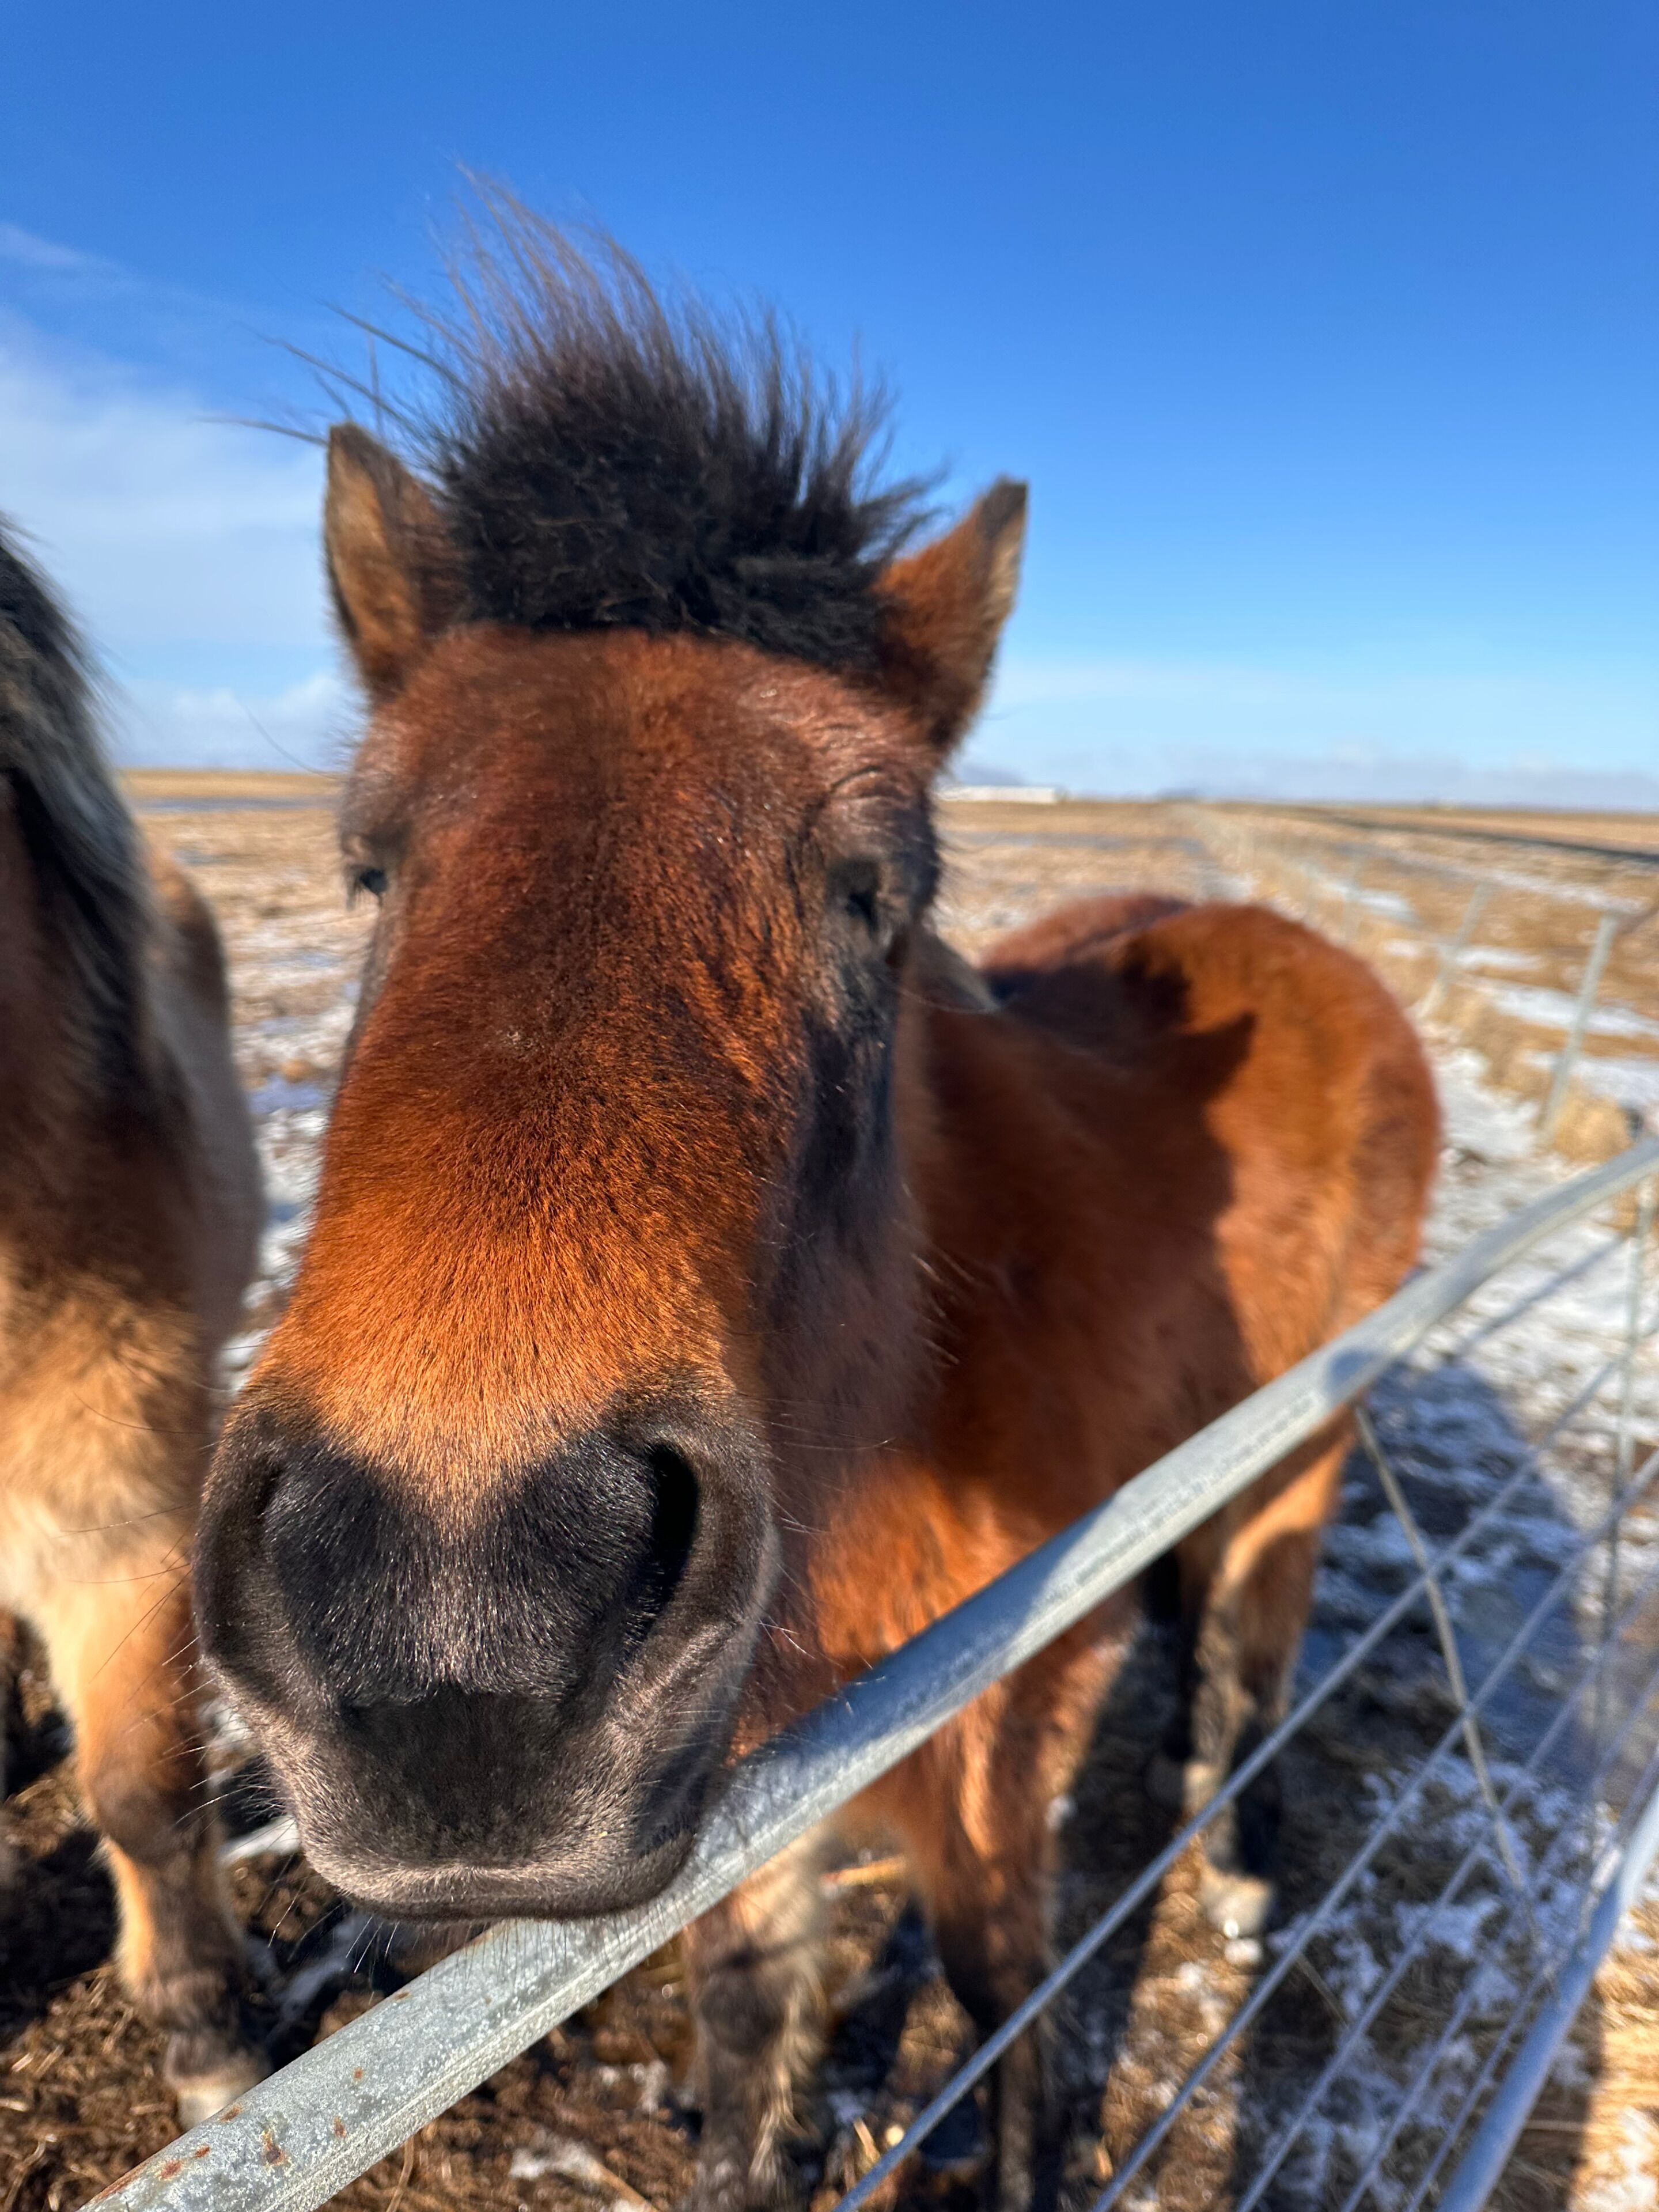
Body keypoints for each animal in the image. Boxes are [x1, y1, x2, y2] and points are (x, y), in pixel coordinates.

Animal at [193, 213, 1439, 2208]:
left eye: (878, 886)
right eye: (371, 864)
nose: (455, 1618)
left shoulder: (996, 1761)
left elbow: (1014, 2012)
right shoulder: (753, 1803)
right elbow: (746, 2021)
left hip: (1306, 1459)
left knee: (1259, 1643)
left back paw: (1245, 1867)